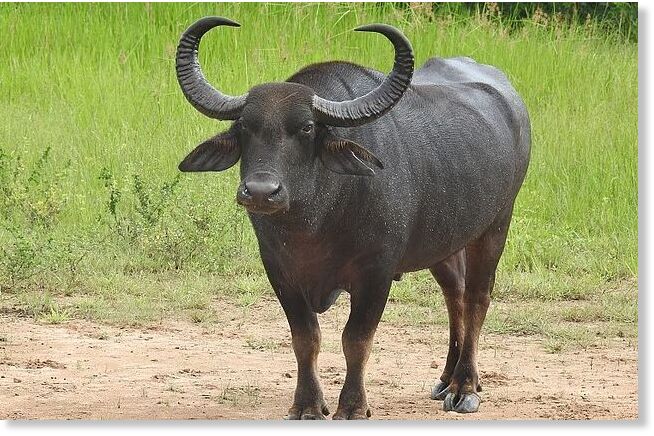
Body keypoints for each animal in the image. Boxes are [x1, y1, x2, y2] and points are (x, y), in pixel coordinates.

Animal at [176, 16, 530, 419]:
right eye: (244, 127)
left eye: (307, 127)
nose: (262, 191)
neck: (315, 222)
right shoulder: (280, 272)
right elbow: (305, 339)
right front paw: (307, 405)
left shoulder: (376, 273)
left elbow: (356, 340)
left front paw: (353, 407)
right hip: (444, 241)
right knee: (454, 293)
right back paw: (445, 379)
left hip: (496, 224)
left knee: (476, 297)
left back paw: (465, 387)